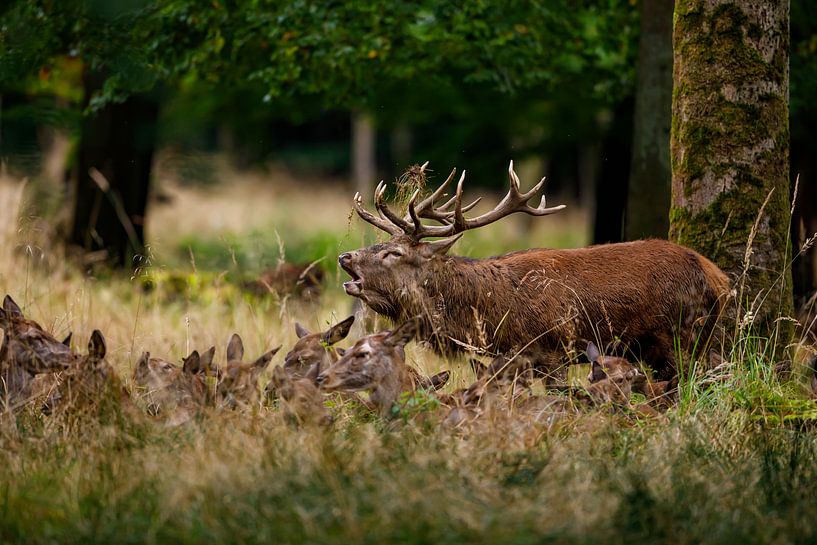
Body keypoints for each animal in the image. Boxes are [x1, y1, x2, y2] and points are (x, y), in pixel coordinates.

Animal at [339, 162, 730, 380]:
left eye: (393, 252)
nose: (345, 256)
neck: (496, 315)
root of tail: (719, 278)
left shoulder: (554, 350)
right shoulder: (511, 359)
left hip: (679, 333)